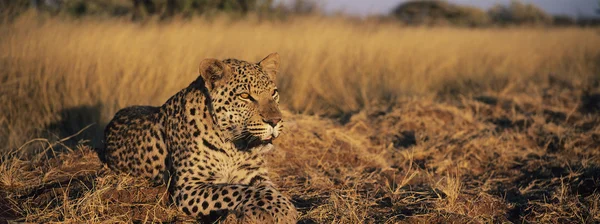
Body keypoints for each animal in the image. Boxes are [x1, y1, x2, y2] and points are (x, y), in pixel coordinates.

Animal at [99, 53, 298, 223]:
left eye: (273, 93)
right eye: (244, 96)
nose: (275, 121)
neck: (234, 147)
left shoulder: (256, 175)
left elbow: (269, 190)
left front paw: (283, 207)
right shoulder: (190, 187)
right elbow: (237, 190)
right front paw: (282, 210)